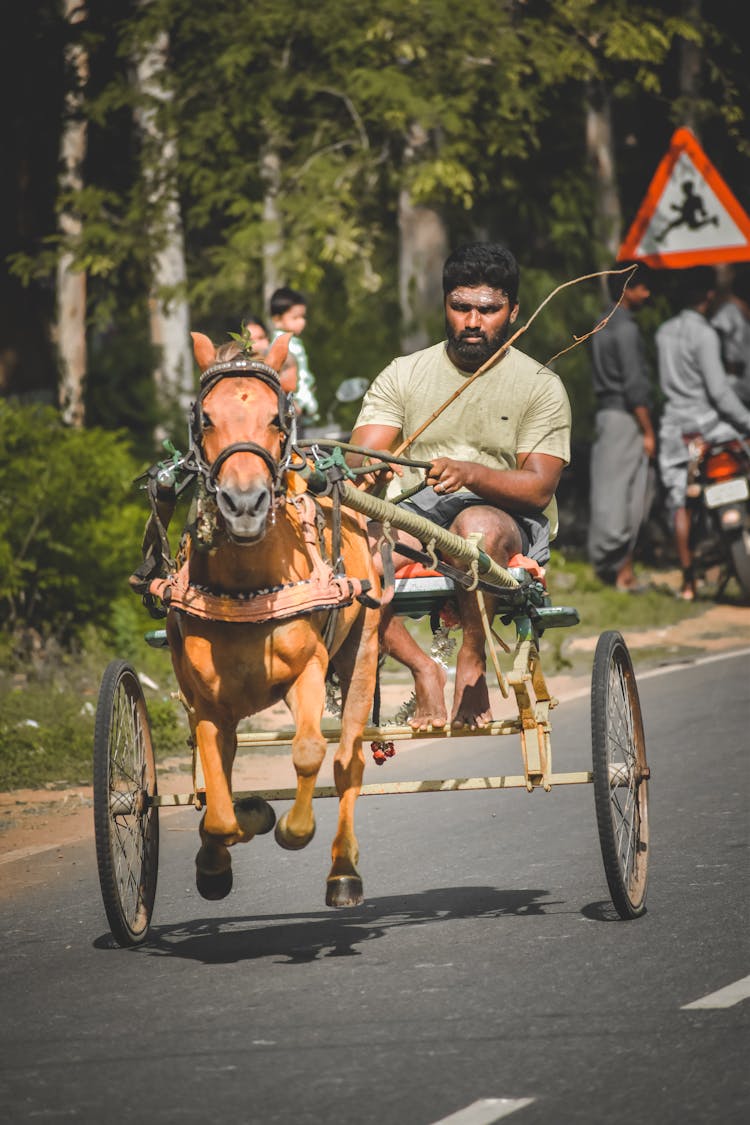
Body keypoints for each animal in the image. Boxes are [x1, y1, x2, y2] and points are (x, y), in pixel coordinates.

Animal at [167, 330, 384, 904]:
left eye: (275, 418)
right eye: (206, 419)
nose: (244, 504)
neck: (249, 590)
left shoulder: (307, 669)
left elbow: (308, 751)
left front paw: (288, 827)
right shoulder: (204, 700)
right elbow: (217, 801)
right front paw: (232, 835)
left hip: (363, 651)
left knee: (348, 759)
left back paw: (343, 870)